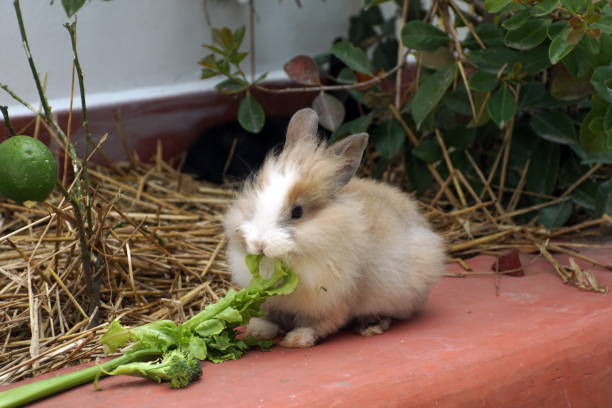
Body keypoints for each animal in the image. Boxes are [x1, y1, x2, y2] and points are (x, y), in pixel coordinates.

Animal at [222, 107, 448, 346]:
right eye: (254, 202)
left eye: (297, 212)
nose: (259, 244)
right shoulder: (270, 301)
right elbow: (268, 316)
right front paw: (258, 331)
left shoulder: (335, 300)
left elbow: (322, 324)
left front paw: (297, 339)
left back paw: (371, 325)